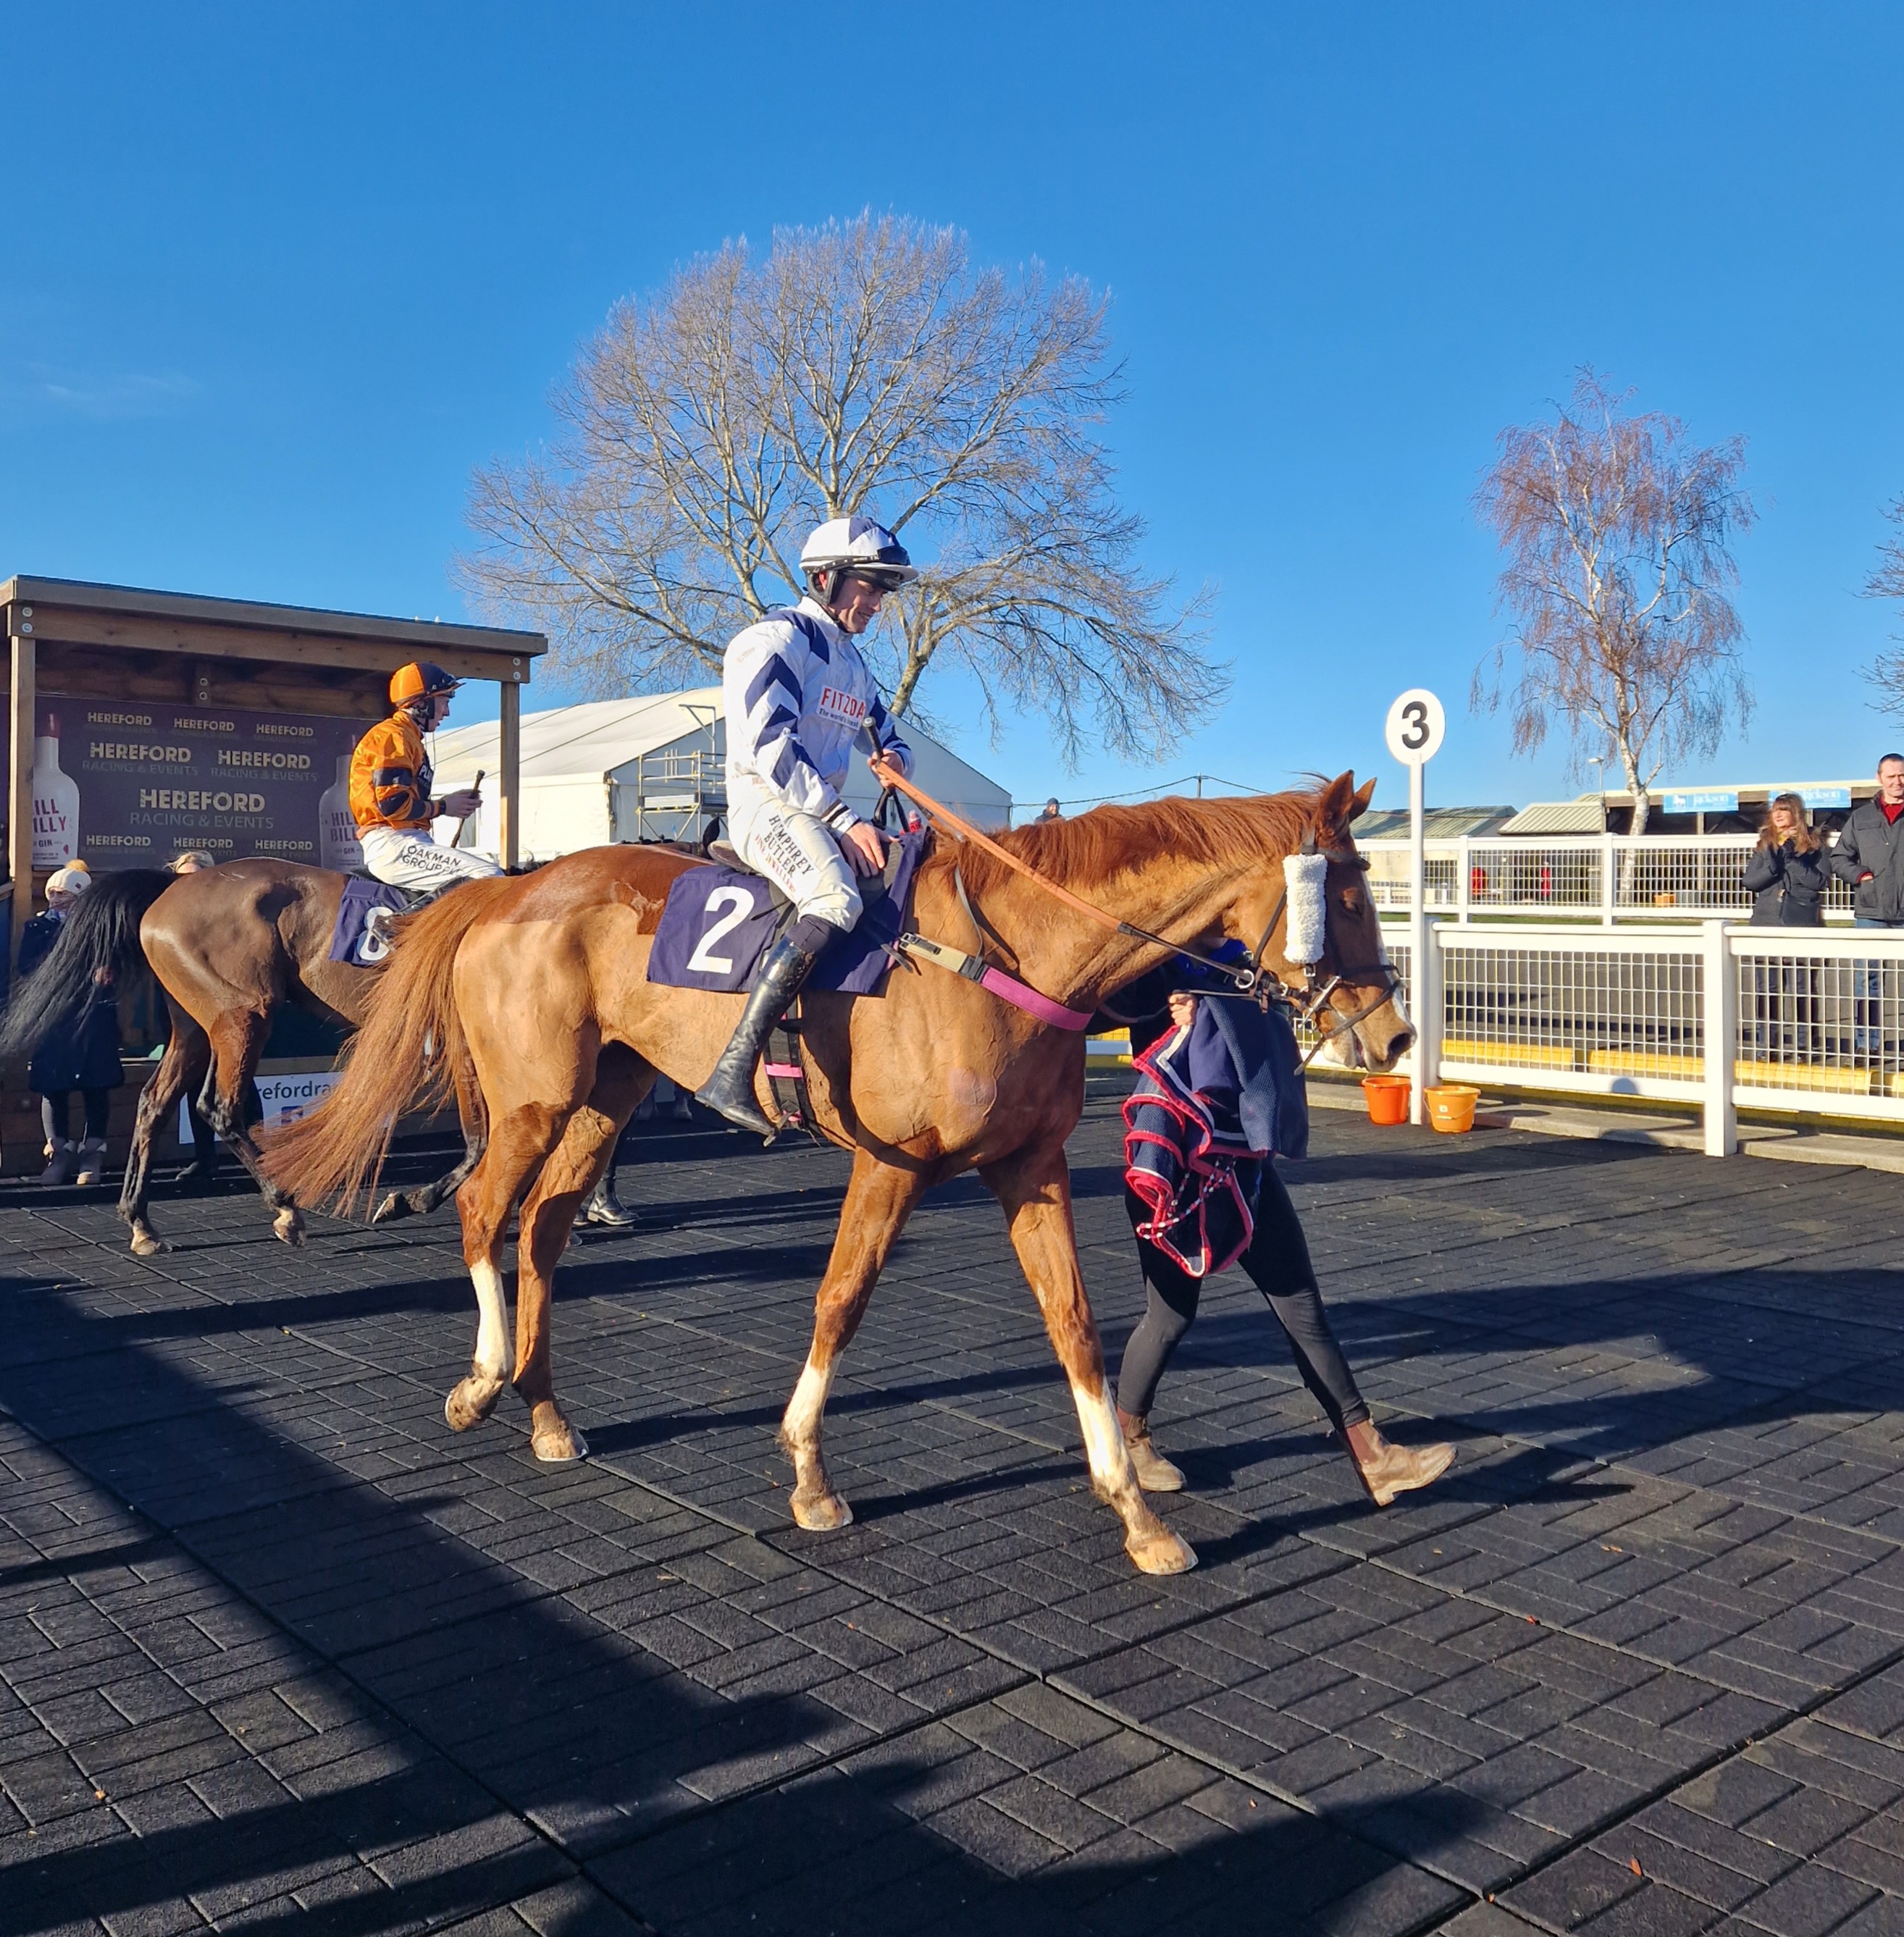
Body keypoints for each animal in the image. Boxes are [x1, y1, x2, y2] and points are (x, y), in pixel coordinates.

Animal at [0, 864, 507, 1255]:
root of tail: (171, 886)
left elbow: (485, 1140)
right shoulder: (465, 1043)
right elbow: (479, 1139)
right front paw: (410, 1201)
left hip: (195, 1027)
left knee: (155, 1103)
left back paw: (141, 1223)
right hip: (244, 1013)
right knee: (219, 1107)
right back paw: (285, 1208)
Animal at [261, 770, 1410, 1573]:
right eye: (1352, 891)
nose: (1395, 1034)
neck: (1011, 953)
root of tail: (511, 887)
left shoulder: (1030, 1167)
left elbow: (1075, 1326)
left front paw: (1135, 1510)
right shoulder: (889, 1165)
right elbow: (841, 1299)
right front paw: (810, 1474)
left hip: (607, 1093)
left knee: (542, 1227)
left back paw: (546, 1411)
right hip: (533, 1098)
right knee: (479, 1210)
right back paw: (482, 1380)